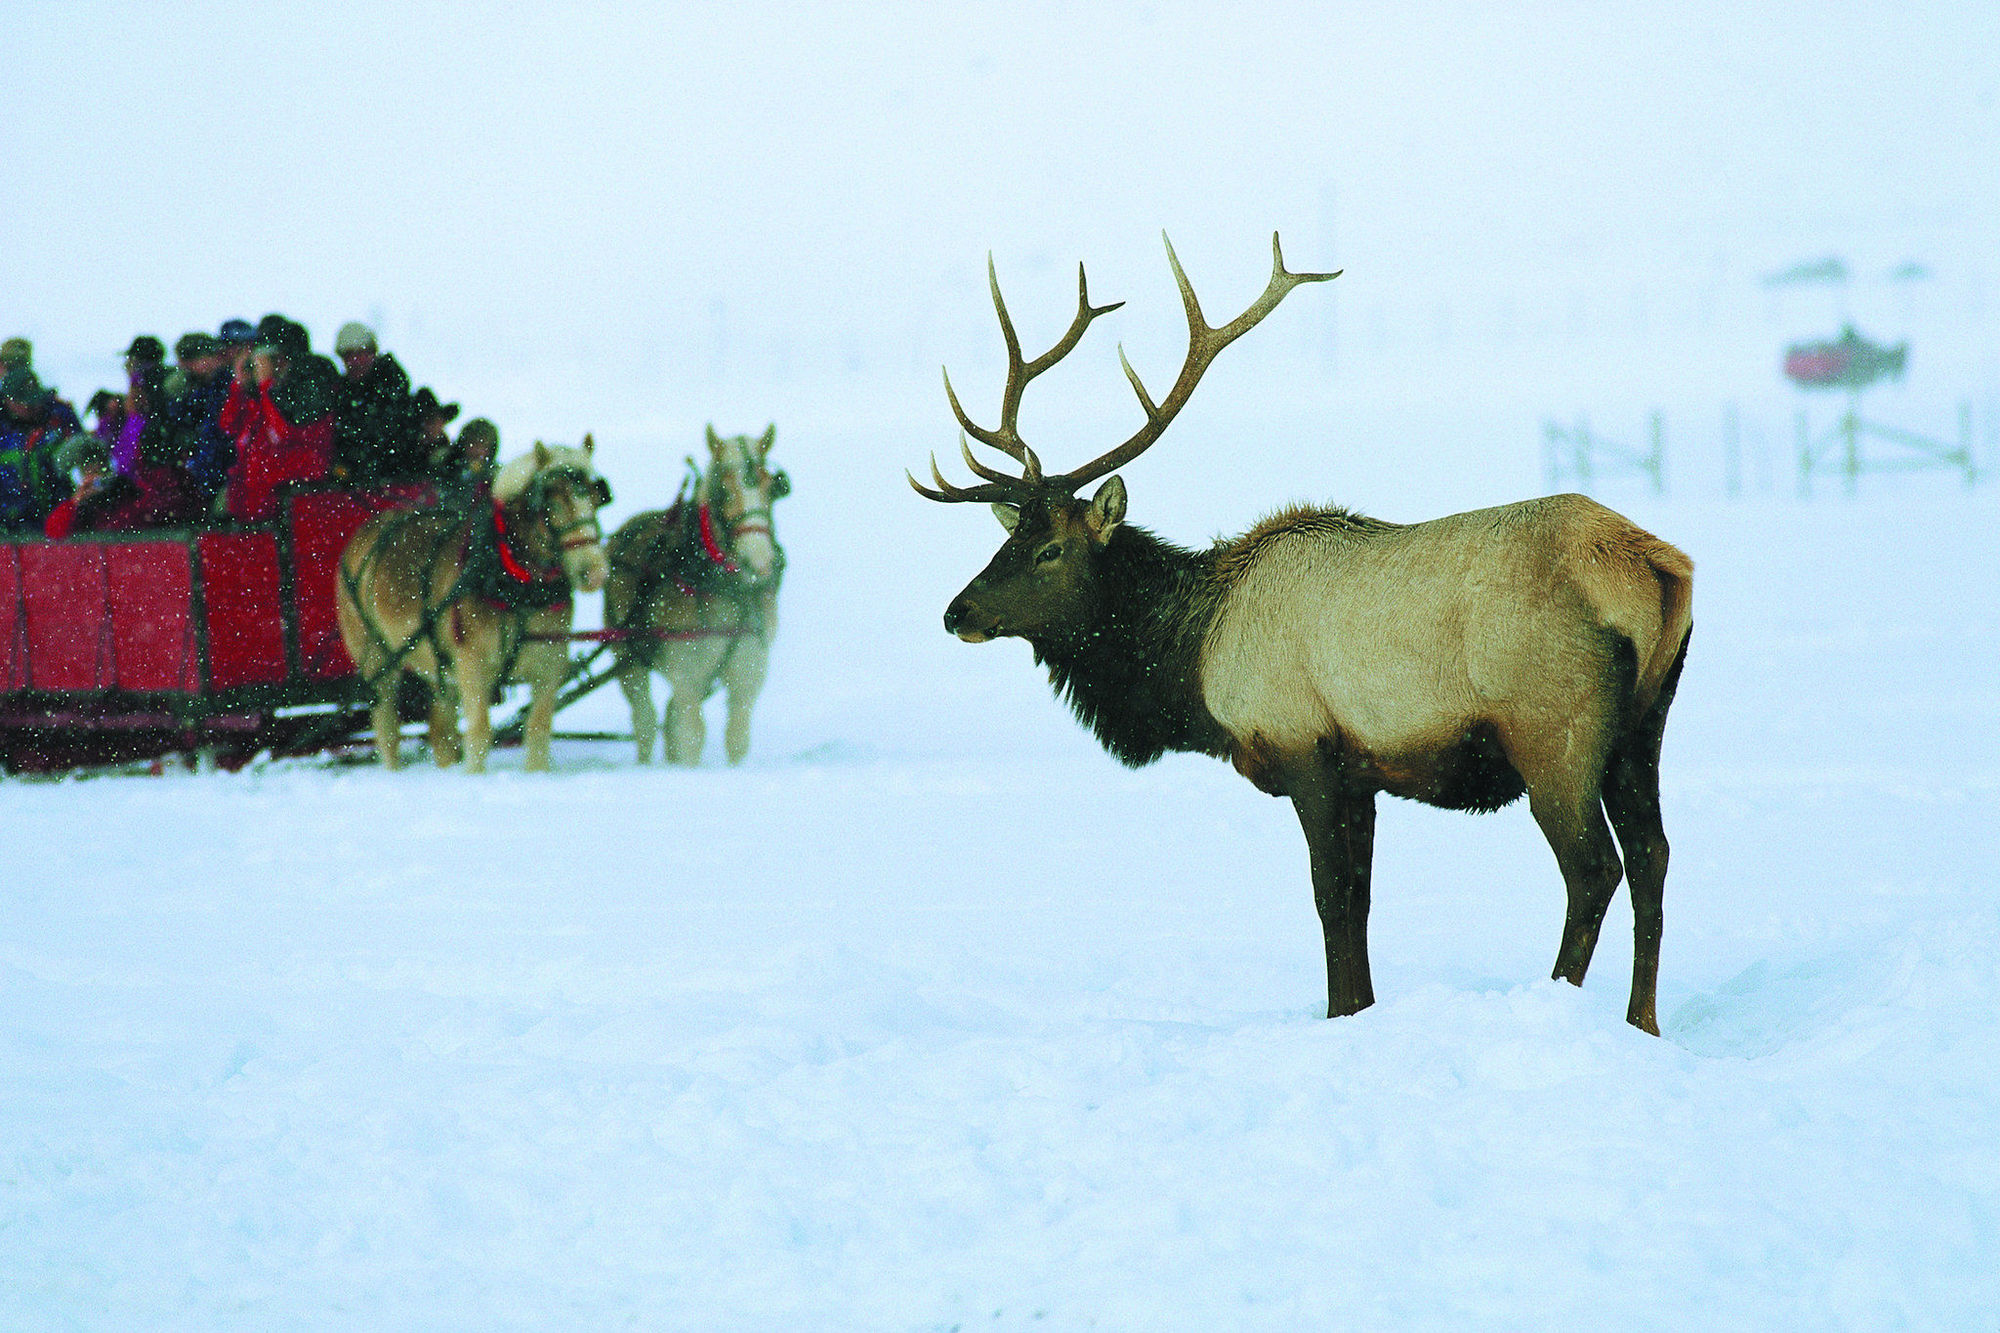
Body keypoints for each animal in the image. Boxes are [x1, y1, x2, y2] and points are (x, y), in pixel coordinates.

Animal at [336, 438, 608, 768]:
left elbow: (538, 731)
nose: (595, 572)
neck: (513, 581)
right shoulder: (472, 666)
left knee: (440, 732)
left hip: (436, 665)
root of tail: (364, 533)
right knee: (387, 728)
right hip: (376, 656)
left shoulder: (549, 666)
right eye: (552, 506)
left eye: (595, 500)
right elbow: (479, 734)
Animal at [608, 420, 788, 764]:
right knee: (645, 721)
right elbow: (691, 737)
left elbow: (736, 739)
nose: (761, 561)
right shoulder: (687, 675)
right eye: (724, 490)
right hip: (628, 658)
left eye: (771, 486)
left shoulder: (747, 677)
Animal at [916, 233, 1696, 1032]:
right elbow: (1361, 902)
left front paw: (1340, 1012)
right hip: (1643, 723)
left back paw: (1557, 998)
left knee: (1594, 869)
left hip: (1552, 728)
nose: (956, 612)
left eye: (1049, 550)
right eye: (1009, 538)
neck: (1195, 660)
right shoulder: (1362, 772)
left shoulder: (1303, 747)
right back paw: (1642, 1021)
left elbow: (1332, 900)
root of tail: (1657, 566)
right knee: (1654, 855)